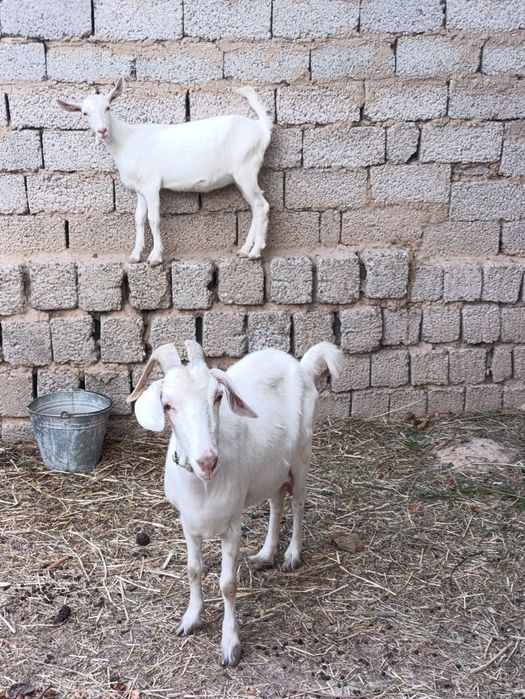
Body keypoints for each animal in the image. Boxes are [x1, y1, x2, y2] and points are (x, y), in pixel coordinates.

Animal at [57, 78, 272, 266]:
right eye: (84, 113)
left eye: (108, 107)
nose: (101, 131)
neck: (126, 141)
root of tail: (261, 128)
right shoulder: (140, 188)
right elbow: (139, 218)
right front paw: (135, 255)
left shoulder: (152, 184)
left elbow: (154, 219)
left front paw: (155, 257)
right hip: (240, 177)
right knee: (255, 206)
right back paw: (245, 249)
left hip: (246, 170)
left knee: (262, 205)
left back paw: (255, 252)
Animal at [127, 339, 343, 666]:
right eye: (168, 405)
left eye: (218, 397)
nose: (207, 461)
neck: (203, 485)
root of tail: (301, 365)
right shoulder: (188, 523)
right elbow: (193, 569)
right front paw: (191, 619)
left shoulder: (231, 525)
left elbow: (228, 584)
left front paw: (230, 643)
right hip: (272, 468)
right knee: (277, 503)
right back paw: (266, 554)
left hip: (302, 457)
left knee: (298, 503)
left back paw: (292, 554)